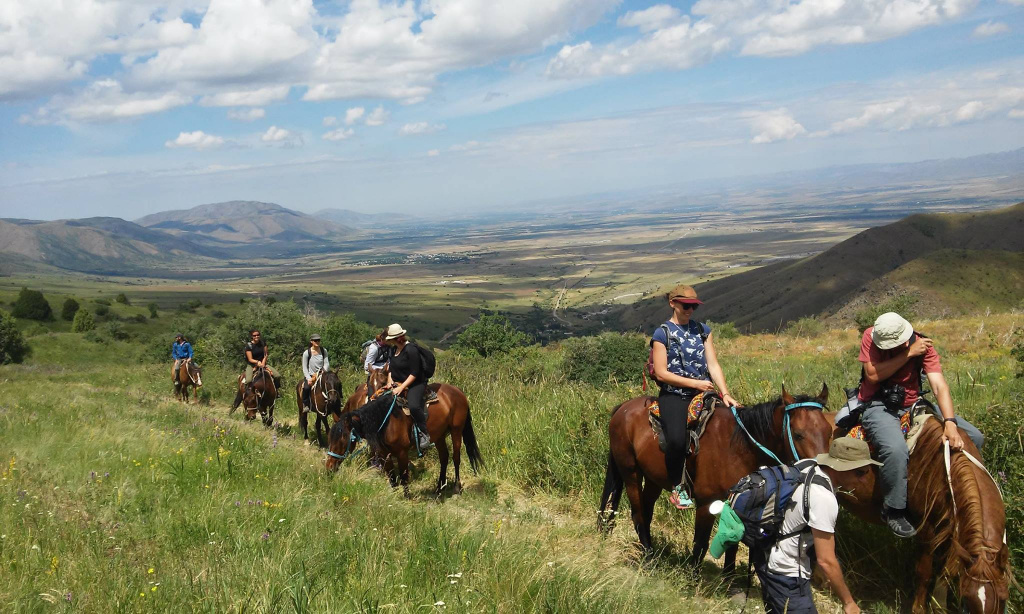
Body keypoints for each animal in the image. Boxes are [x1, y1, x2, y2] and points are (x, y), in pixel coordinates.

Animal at [329, 380, 485, 497]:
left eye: (342, 440)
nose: (329, 467)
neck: (385, 420)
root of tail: (458, 391)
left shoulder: (402, 452)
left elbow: (404, 477)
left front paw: (407, 497)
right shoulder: (384, 454)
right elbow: (392, 477)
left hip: (456, 430)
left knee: (456, 457)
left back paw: (456, 488)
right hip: (439, 435)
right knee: (444, 458)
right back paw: (439, 488)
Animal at [598, 384, 831, 568]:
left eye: (828, 431)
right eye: (798, 434)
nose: (820, 472)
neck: (739, 447)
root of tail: (623, 408)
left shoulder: (739, 503)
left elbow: (732, 545)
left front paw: (729, 583)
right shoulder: (706, 502)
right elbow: (701, 543)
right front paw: (693, 579)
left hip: (653, 478)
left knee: (646, 512)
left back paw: (651, 550)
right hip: (630, 473)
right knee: (637, 513)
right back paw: (648, 556)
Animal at [823, 413, 1007, 614]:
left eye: (1003, 599)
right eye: (966, 600)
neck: (943, 474)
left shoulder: (951, 533)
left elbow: (946, 572)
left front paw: (938, 606)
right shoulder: (926, 531)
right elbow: (924, 573)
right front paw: (919, 608)